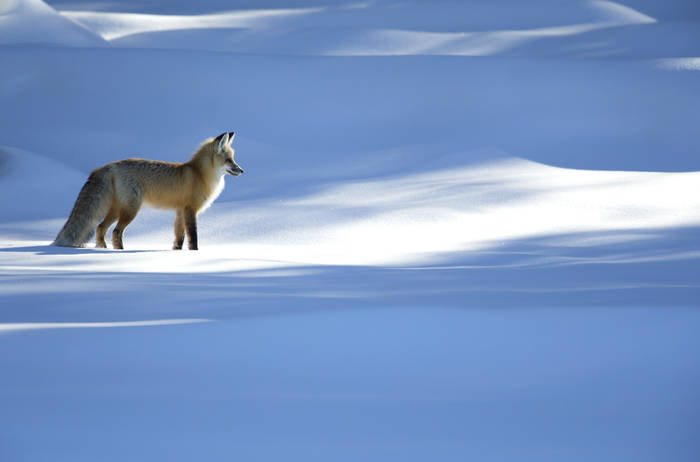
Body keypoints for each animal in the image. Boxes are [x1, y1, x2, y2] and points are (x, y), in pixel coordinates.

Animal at [53, 132, 243, 250]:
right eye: (229, 160)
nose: (242, 170)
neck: (200, 174)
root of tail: (110, 165)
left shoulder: (179, 211)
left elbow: (179, 238)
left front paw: (177, 254)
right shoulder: (190, 210)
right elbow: (193, 237)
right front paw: (194, 254)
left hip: (116, 209)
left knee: (100, 229)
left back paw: (105, 251)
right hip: (131, 209)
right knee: (116, 231)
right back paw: (119, 253)